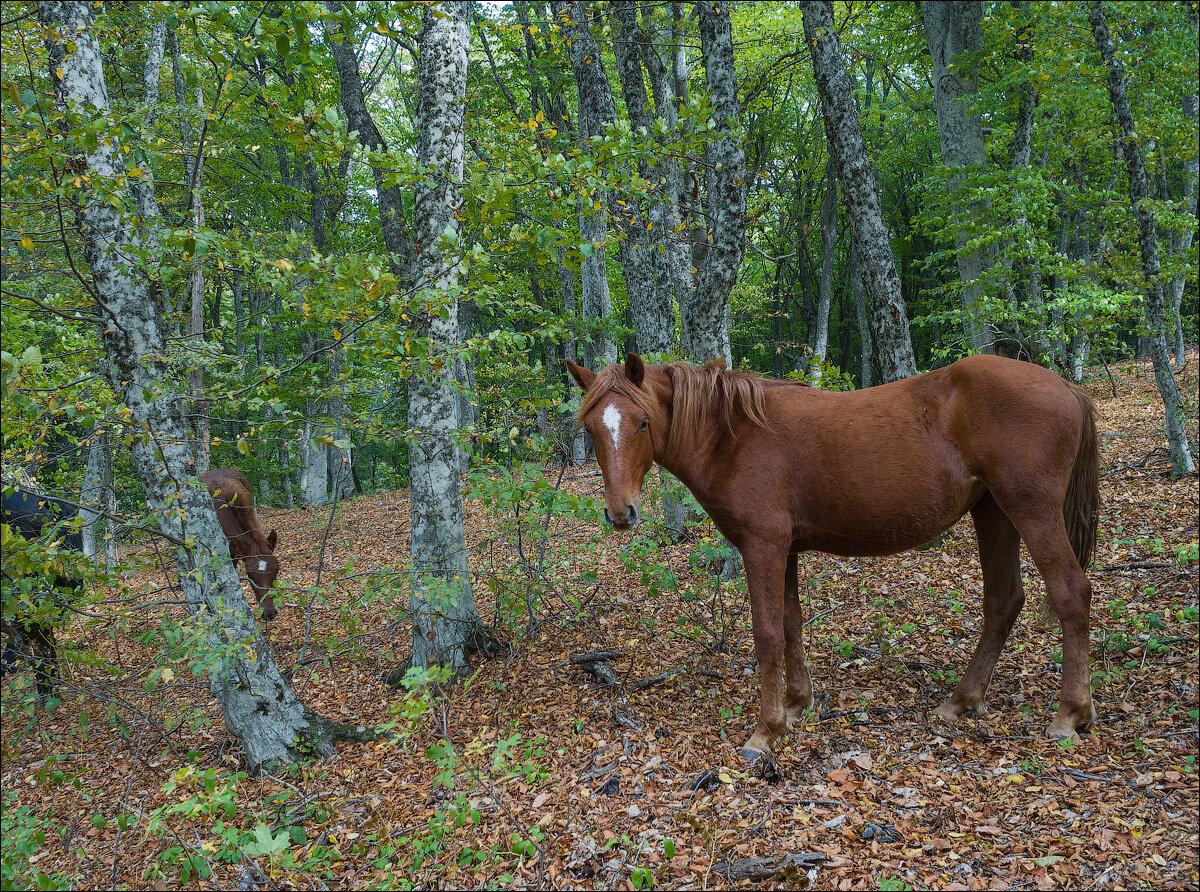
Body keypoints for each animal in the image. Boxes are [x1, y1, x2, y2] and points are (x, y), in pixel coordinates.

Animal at [566, 352, 1099, 758]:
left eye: (641, 422)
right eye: (590, 428)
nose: (621, 512)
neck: (732, 437)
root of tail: (1066, 387)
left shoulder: (762, 546)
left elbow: (766, 634)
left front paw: (766, 730)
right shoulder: (784, 549)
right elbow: (790, 623)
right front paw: (796, 704)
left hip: (1030, 510)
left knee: (1070, 593)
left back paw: (1069, 714)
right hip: (994, 515)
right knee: (1003, 602)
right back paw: (963, 700)